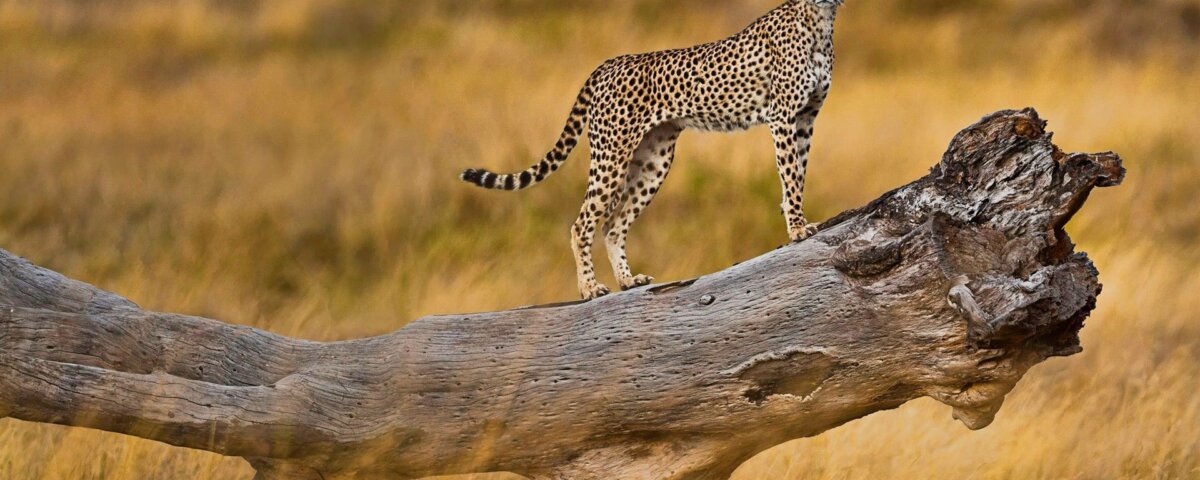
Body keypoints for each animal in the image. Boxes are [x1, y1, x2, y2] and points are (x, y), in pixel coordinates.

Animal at [461, 0, 842, 300]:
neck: (820, 22)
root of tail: (610, 62)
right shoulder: (784, 117)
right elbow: (790, 176)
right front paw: (797, 228)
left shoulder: (806, 119)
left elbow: (798, 175)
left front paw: (796, 221)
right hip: (612, 157)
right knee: (583, 223)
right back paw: (589, 288)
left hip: (654, 161)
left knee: (613, 224)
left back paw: (628, 281)